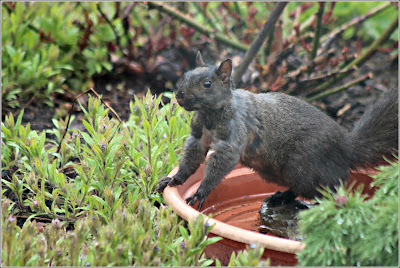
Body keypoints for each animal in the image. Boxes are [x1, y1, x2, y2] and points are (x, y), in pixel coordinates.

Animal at [155, 51, 398, 209]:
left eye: (207, 84)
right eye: (185, 76)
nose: (179, 96)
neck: (210, 116)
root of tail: (347, 148)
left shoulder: (232, 139)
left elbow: (219, 164)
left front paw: (201, 191)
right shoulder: (198, 137)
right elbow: (191, 158)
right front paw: (175, 179)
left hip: (303, 166)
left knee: (330, 189)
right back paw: (281, 198)